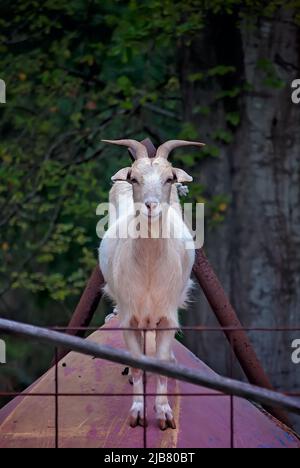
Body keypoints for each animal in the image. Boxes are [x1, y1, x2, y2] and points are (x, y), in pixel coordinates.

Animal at [98, 139, 204, 432]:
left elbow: (162, 363)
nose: (151, 206)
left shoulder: (167, 317)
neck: (148, 271)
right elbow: (136, 364)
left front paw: (165, 414)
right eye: (134, 178)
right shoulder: (129, 318)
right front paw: (137, 414)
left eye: (169, 178)